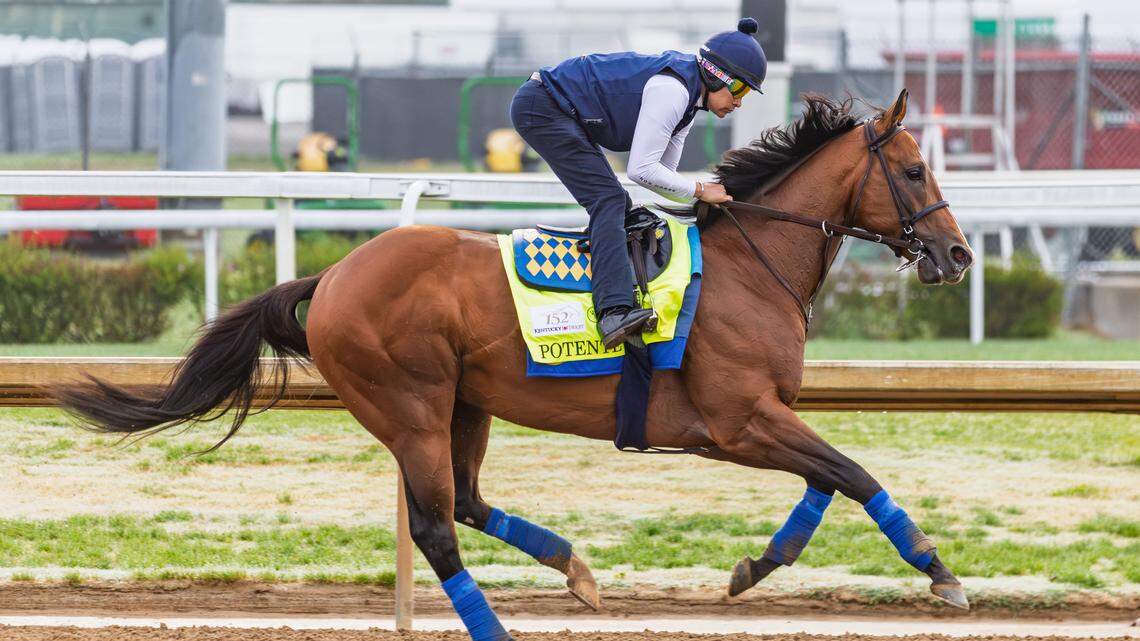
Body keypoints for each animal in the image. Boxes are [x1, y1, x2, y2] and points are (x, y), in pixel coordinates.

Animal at [54, 89, 975, 640]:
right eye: (913, 168)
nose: (958, 253)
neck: (751, 267)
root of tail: (334, 273)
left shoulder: (761, 417)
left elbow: (827, 479)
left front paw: (754, 568)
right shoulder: (735, 420)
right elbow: (854, 473)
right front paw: (940, 571)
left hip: (467, 403)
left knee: (465, 501)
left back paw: (577, 570)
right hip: (411, 405)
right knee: (434, 525)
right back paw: (497, 621)